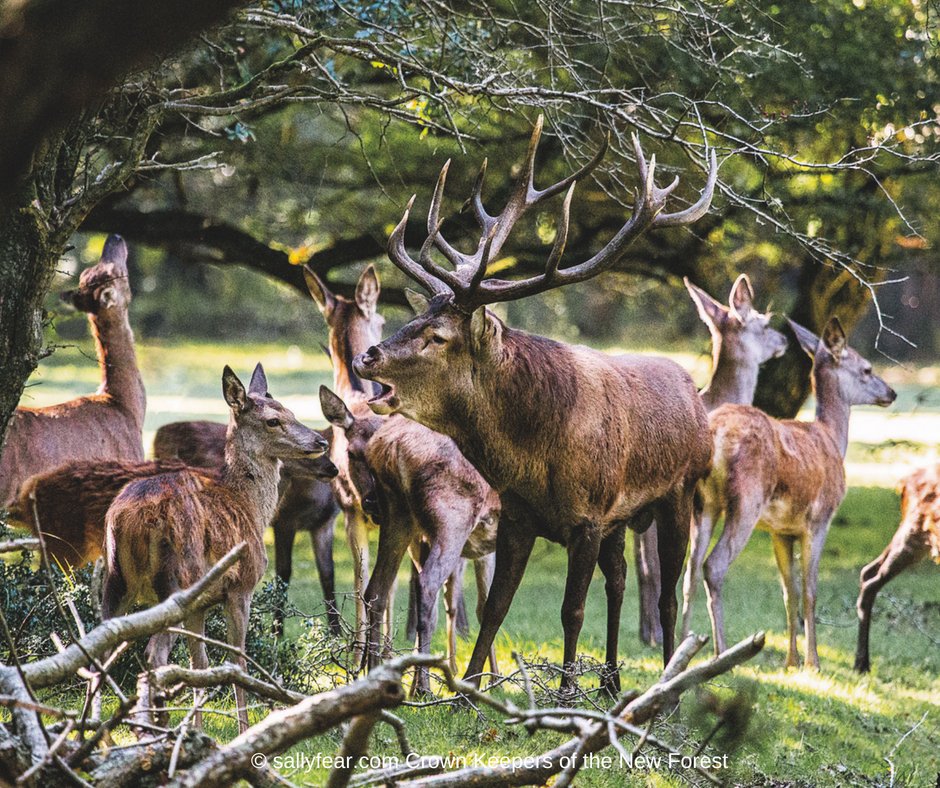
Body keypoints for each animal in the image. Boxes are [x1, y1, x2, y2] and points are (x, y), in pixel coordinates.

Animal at [102, 364, 328, 733]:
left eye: (291, 411)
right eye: (272, 420)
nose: (320, 441)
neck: (252, 509)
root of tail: (131, 519)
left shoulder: (201, 604)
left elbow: (200, 663)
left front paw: (196, 729)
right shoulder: (241, 587)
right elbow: (237, 660)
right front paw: (244, 729)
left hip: (115, 580)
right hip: (175, 583)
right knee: (153, 655)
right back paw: (154, 729)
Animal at [319, 385, 499, 695]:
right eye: (351, 454)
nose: (370, 502)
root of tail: (392, 448)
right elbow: (485, 603)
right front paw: (494, 680)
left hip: (399, 519)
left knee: (377, 589)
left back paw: (377, 671)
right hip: (452, 519)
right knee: (426, 585)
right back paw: (423, 686)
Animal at [352, 115, 717, 692]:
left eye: (437, 335)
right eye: (413, 318)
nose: (368, 355)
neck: (535, 453)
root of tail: (695, 394)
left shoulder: (587, 517)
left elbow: (572, 611)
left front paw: (565, 690)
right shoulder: (523, 514)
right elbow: (496, 607)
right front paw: (466, 692)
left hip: (680, 492)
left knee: (662, 597)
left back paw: (665, 684)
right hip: (620, 518)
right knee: (619, 582)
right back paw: (611, 682)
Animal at [681, 317, 896, 667]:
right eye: (866, 368)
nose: (891, 392)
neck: (831, 438)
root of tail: (716, 434)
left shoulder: (780, 530)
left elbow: (788, 591)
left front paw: (791, 661)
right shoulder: (820, 519)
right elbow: (810, 590)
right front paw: (813, 662)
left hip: (703, 503)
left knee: (689, 569)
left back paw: (679, 648)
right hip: (747, 499)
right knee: (713, 565)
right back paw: (722, 655)